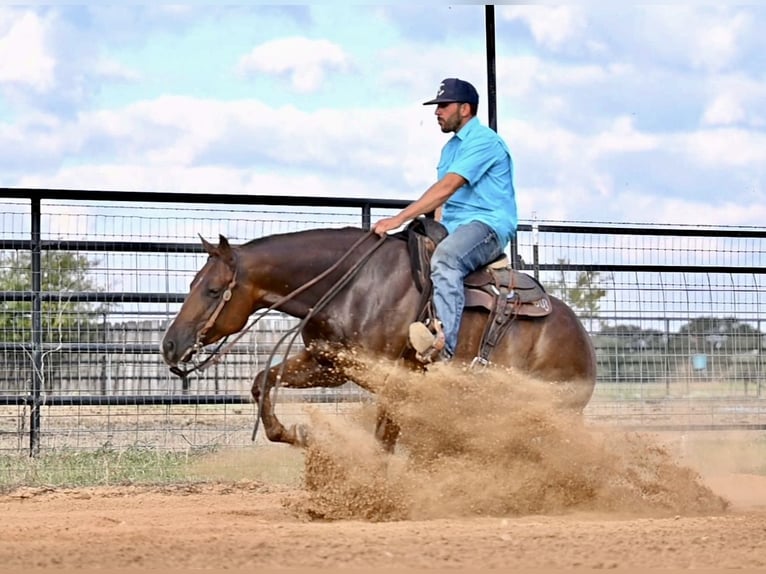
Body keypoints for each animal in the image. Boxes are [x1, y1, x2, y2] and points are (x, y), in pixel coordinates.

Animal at [159, 226, 596, 454]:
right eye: (192, 283)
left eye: (213, 290)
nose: (170, 345)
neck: (352, 283)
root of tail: (583, 341)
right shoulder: (327, 364)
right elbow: (263, 381)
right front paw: (296, 434)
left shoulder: (390, 374)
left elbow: (385, 434)